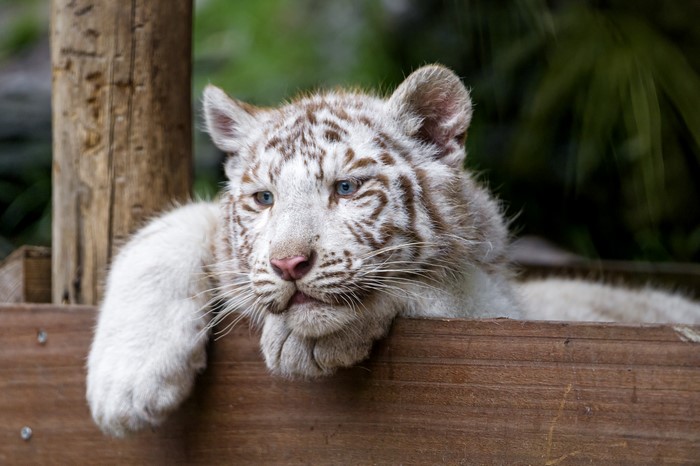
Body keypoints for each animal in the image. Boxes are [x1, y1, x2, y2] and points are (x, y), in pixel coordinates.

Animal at [86, 65, 700, 437]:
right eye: (263, 199)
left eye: (346, 188)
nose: (288, 264)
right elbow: (171, 225)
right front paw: (125, 384)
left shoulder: (509, 318)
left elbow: (442, 287)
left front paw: (312, 338)